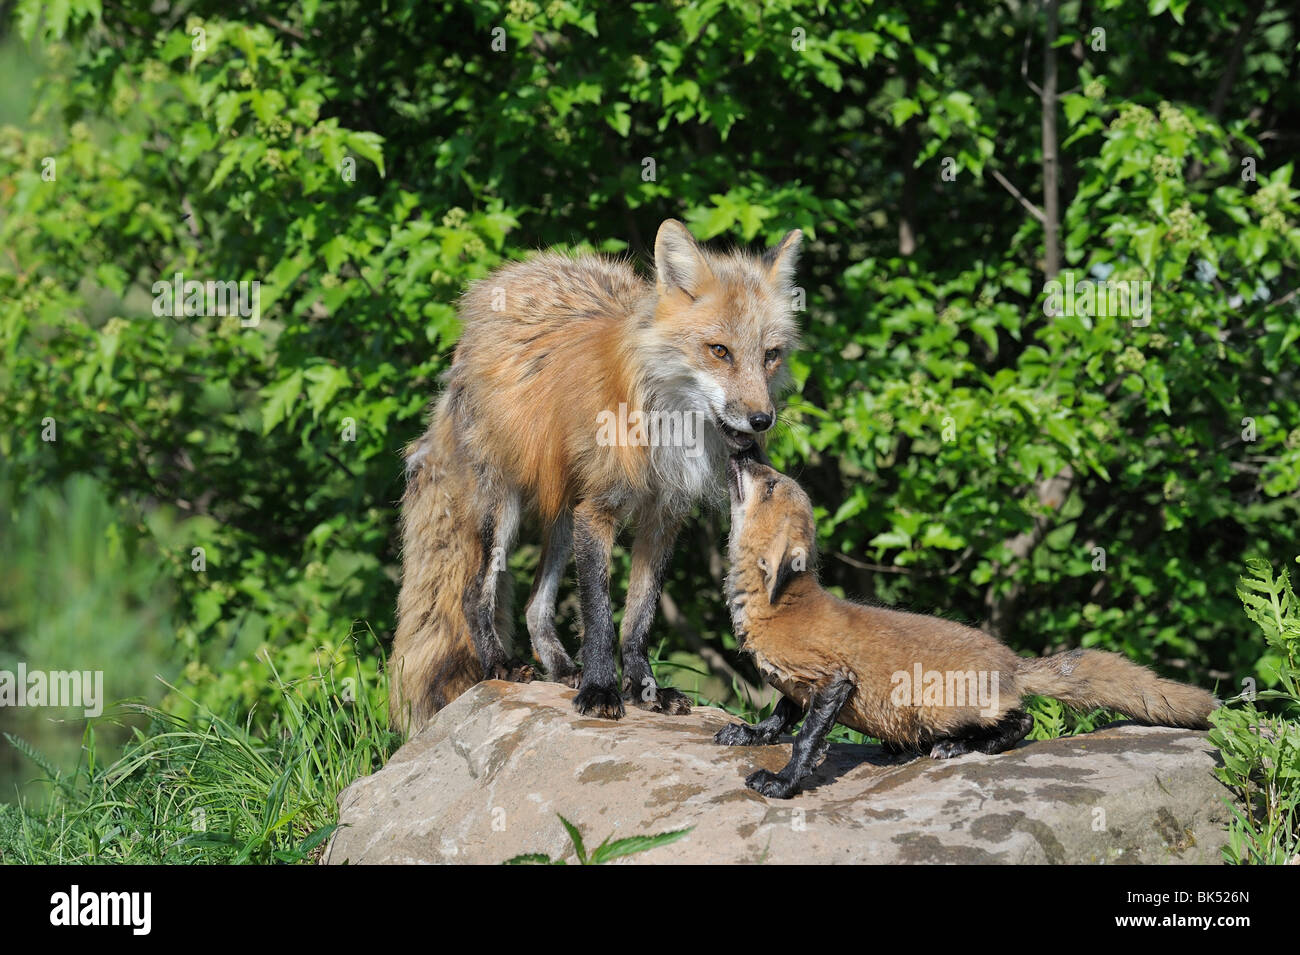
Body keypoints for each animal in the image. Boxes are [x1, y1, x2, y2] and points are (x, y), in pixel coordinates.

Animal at [390, 222, 800, 732]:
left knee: (535, 607)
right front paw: (602, 690)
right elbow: (601, 617)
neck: (665, 423)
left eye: (771, 355)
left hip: (564, 515)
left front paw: (644, 690)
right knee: (472, 595)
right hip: (502, 510)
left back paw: (563, 669)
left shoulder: (663, 517)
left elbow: (638, 618)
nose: (761, 420)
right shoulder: (599, 511)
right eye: (719, 351)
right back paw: (501, 664)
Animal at [712, 457, 1216, 800]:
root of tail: (1012, 662)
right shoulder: (798, 685)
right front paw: (750, 735)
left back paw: (958, 747)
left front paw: (782, 783)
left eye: (769, 483)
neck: (776, 608)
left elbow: (805, 741)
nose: (744, 449)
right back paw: (904, 750)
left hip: (937, 704)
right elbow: (779, 717)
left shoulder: (832, 681)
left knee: (1022, 720)